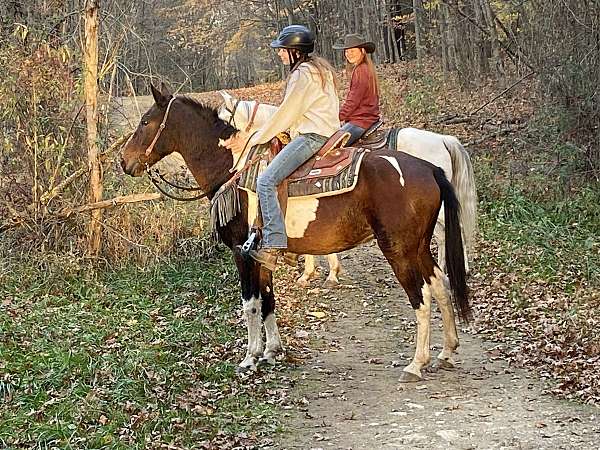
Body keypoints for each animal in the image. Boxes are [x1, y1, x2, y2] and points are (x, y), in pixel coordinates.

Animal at [217, 91, 478, 286]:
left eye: (222, 114)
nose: (223, 144)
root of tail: (443, 139)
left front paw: (316, 273)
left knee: (453, 228)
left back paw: (455, 267)